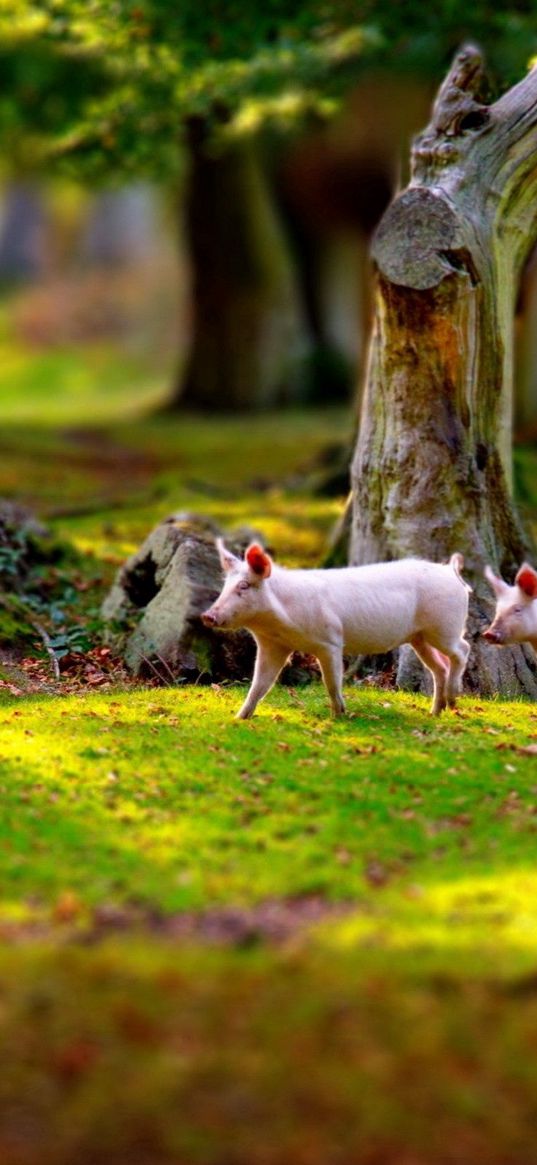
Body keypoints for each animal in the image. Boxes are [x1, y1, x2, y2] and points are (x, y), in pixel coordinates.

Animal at [200, 538, 468, 717]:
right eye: (225, 585)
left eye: (244, 586)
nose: (207, 616)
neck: (277, 624)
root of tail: (450, 571)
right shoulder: (273, 645)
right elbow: (259, 685)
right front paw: (239, 718)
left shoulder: (330, 642)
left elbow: (331, 682)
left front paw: (339, 715)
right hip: (419, 637)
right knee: (440, 667)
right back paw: (436, 712)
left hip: (444, 627)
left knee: (462, 650)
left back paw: (453, 699)